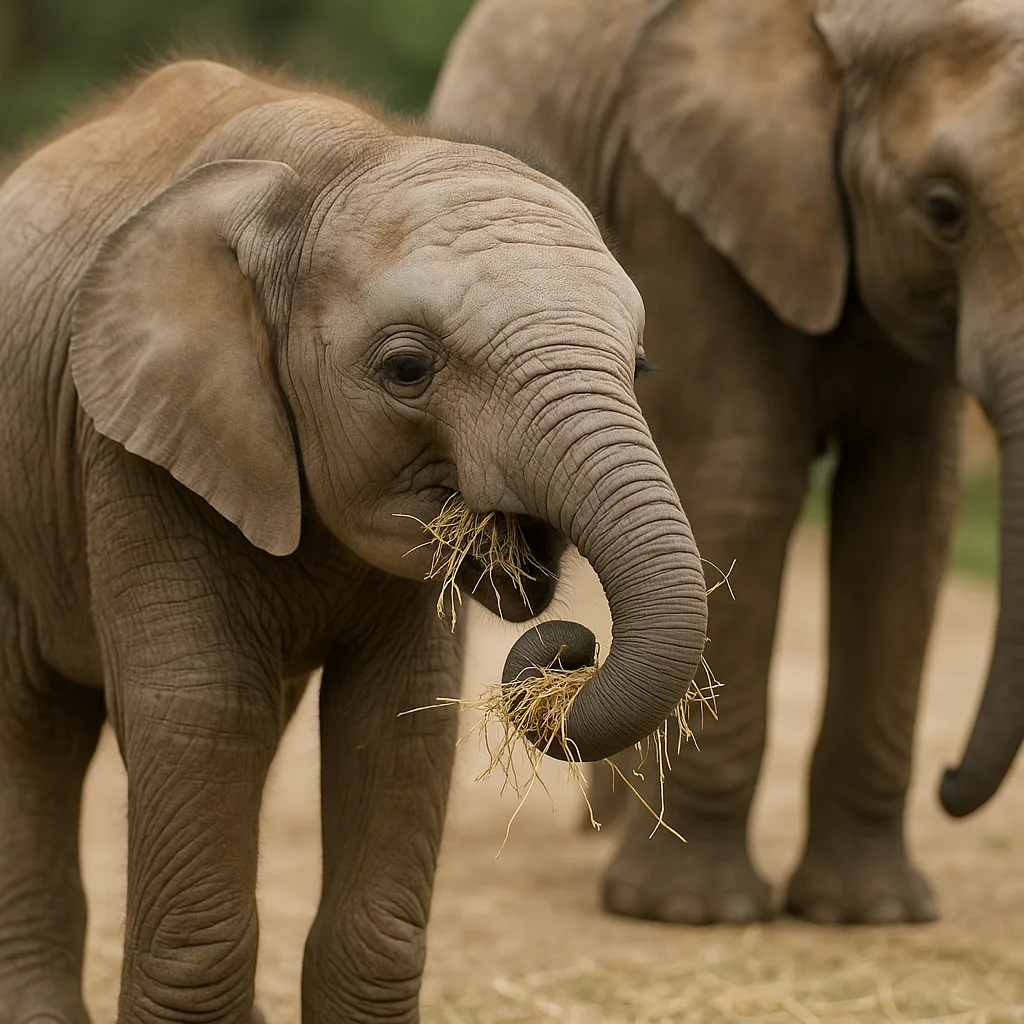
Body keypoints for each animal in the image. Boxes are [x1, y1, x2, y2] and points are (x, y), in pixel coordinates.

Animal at [0, 59, 709, 1024]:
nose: (571, 647)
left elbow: (398, 716)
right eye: (407, 369)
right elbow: (202, 711)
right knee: (32, 726)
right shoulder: (127, 449)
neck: (335, 163)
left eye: (637, 367)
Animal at [430, 0, 1023, 927]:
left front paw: (870, 916)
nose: (950, 778)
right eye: (943, 210)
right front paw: (688, 913)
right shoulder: (687, 222)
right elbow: (747, 480)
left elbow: (907, 508)